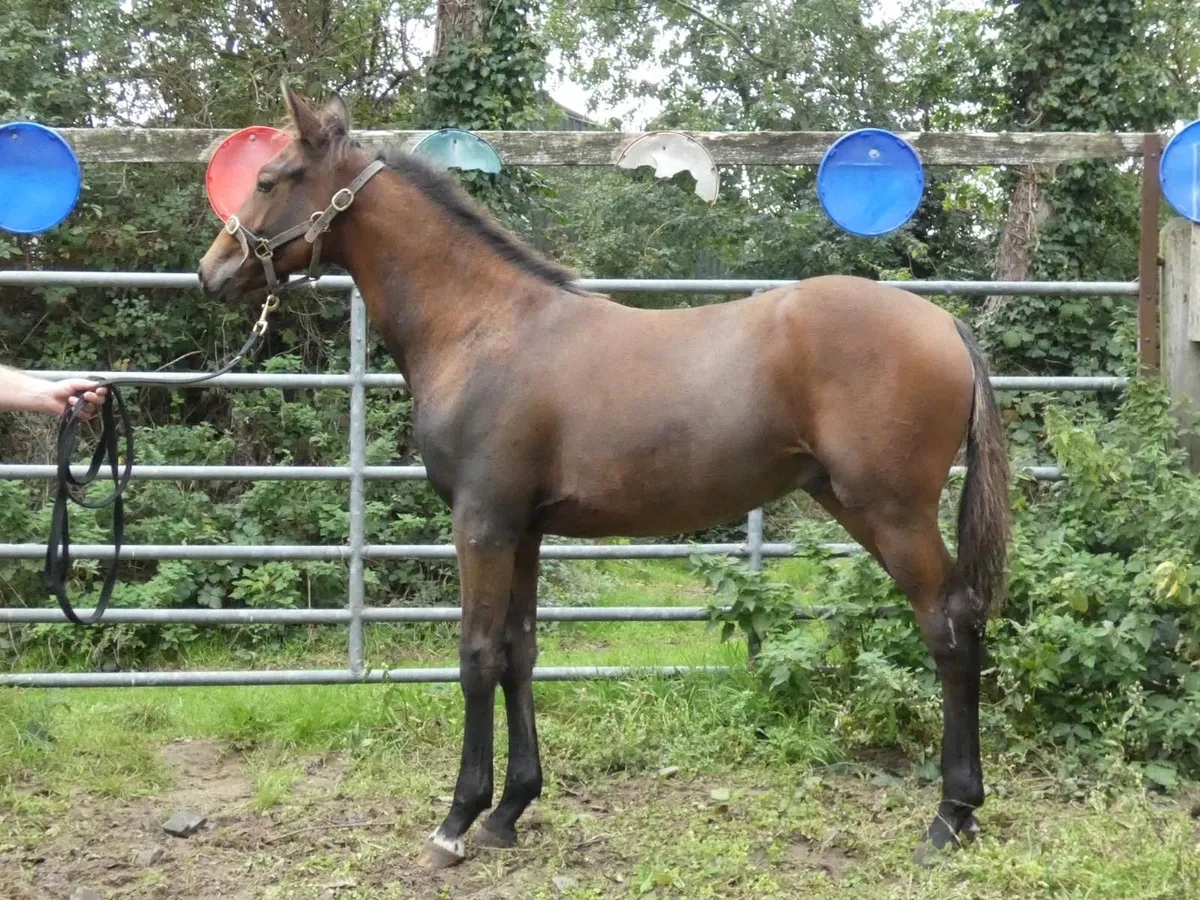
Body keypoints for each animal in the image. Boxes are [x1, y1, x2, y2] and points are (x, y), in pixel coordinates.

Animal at [198, 85, 1011, 869]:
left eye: (270, 179)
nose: (212, 273)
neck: (483, 326)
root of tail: (944, 324)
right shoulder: (523, 530)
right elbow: (519, 654)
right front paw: (509, 811)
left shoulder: (481, 524)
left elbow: (475, 658)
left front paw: (457, 822)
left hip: (893, 514)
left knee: (949, 626)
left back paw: (950, 816)